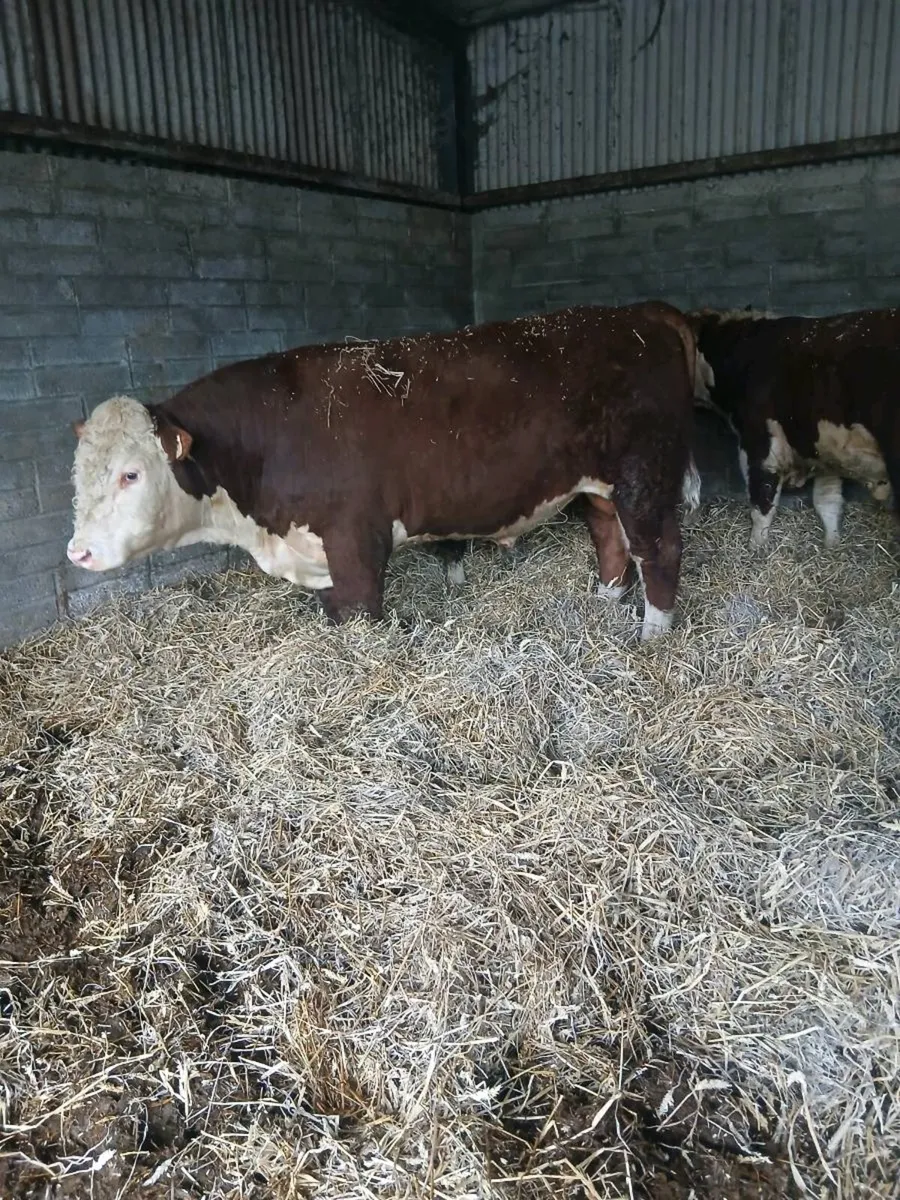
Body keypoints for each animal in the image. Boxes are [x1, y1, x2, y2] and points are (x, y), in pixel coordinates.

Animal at [67, 303, 702, 641]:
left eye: (130, 474)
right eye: (77, 477)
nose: (79, 552)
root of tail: (642, 312)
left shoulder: (355, 540)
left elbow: (361, 614)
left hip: (646, 474)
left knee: (659, 549)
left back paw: (653, 635)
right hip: (600, 483)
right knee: (609, 536)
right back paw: (604, 600)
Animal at [689, 306, 898, 549]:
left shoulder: (760, 445)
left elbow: (762, 503)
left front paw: (756, 548)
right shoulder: (824, 452)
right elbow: (827, 501)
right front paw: (831, 545)